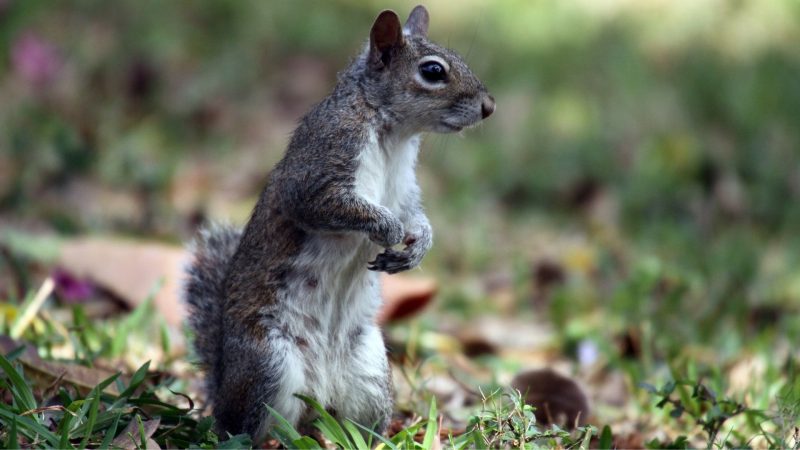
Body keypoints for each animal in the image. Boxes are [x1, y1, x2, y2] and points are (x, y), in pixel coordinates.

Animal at [184, 5, 490, 442]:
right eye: (433, 71)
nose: (488, 106)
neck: (393, 134)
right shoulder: (324, 157)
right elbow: (324, 204)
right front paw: (387, 228)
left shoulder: (405, 187)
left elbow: (415, 213)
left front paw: (418, 246)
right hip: (268, 363)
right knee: (251, 430)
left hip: (370, 373)